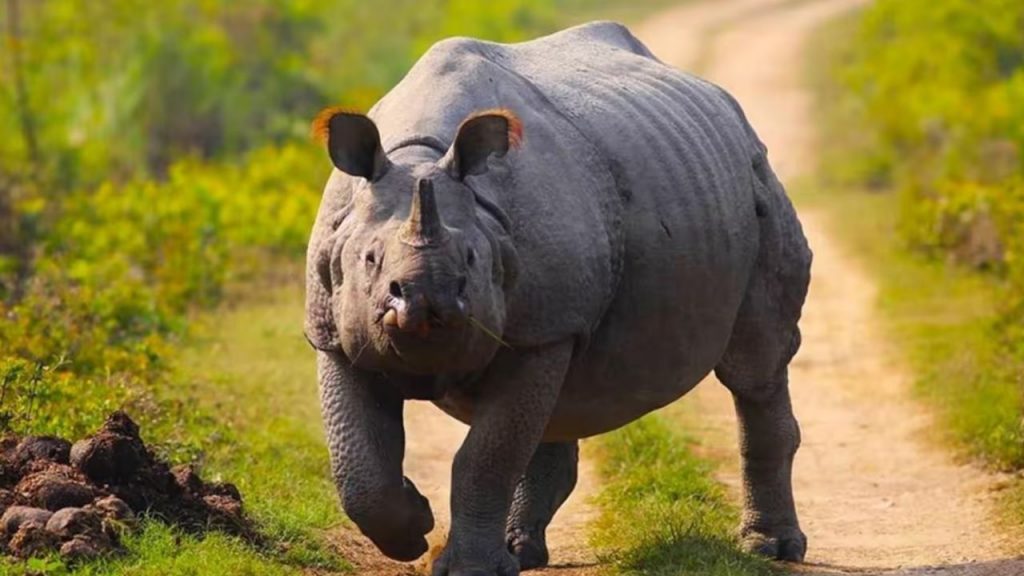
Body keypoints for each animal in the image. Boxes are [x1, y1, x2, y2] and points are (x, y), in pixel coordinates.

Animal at [305, 21, 811, 575]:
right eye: (370, 259)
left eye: (471, 261)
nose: (423, 303)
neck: (420, 154)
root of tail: (728, 108)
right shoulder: (332, 331)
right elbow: (358, 465)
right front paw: (414, 524)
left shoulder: (542, 329)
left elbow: (486, 457)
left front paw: (466, 567)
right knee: (559, 404)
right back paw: (520, 551)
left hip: (754, 179)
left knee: (755, 370)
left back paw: (772, 548)